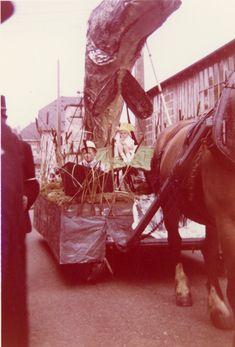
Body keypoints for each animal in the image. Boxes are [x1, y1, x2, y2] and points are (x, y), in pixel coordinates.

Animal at [147, 72, 235, 330]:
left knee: (209, 249)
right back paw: (183, 290)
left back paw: (216, 305)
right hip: (171, 205)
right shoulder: (228, 220)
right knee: (175, 243)